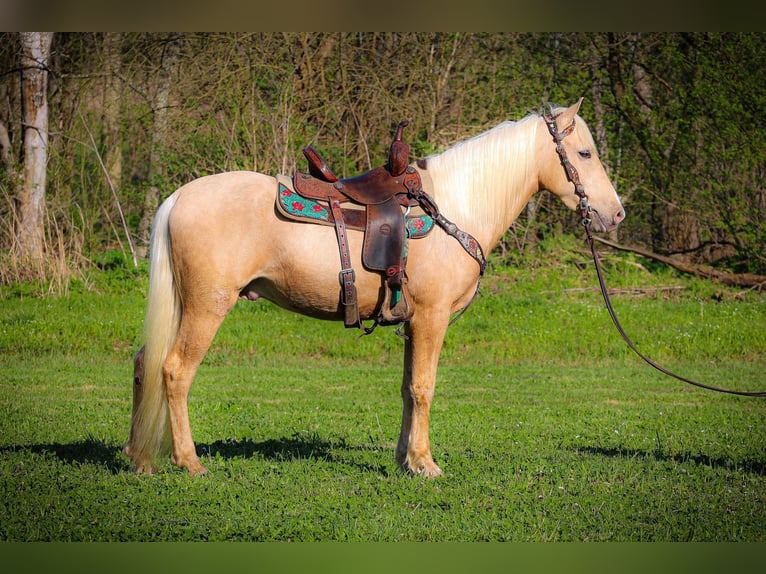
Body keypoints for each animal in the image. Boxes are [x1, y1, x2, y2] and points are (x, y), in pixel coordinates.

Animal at [124, 99, 624, 476]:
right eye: (584, 154)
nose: (615, 213)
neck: (456, 207)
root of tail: (178, 197)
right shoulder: (431, 319)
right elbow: (424, 387)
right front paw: (425, 464)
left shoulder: (411, 323)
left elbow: (406, 388)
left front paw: (405, 459)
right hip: (207, 305)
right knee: (175, 371)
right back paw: (189, 462)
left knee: (145, 364)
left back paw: (139, 458)